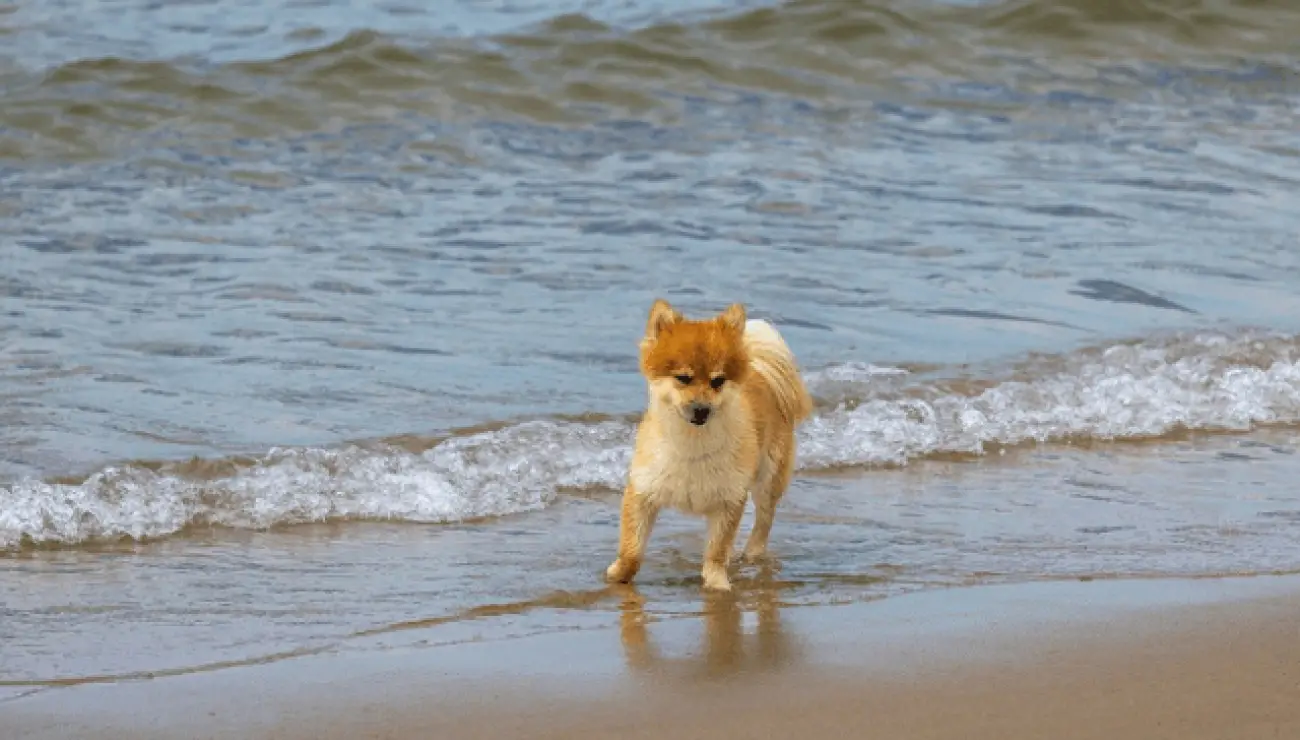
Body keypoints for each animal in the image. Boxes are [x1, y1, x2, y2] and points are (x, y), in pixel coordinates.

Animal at [603, 297, 806, 590]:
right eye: (683, 378)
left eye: (717, 381)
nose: (701, 409)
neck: (692, 446)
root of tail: (760, 372)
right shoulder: (644, 491)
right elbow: (631, 549)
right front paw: (618, 574)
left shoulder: (729, 500)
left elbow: (716, 552)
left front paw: (718, 585)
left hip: (769, 477)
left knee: (764, 519)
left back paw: (752, 555)